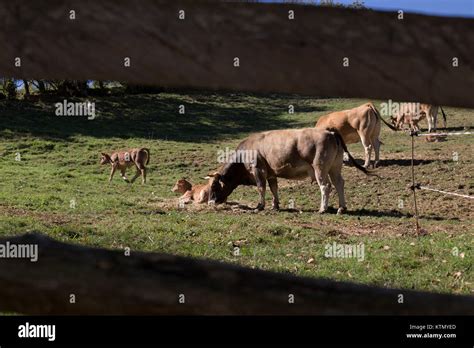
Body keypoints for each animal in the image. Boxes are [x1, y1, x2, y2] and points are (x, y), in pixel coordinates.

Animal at [207, 128, 370, 215]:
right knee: (339, 183)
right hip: (334, 168)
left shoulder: (258, 170)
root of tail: (329, 131)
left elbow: (261, 188)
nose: (210, 202)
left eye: (214, 186)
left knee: (326, 186)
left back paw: (322, 209)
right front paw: (275, 206)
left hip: (320, 168)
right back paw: (342, 208)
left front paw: (259, 206)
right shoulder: (271, 173)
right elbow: (274, 188)